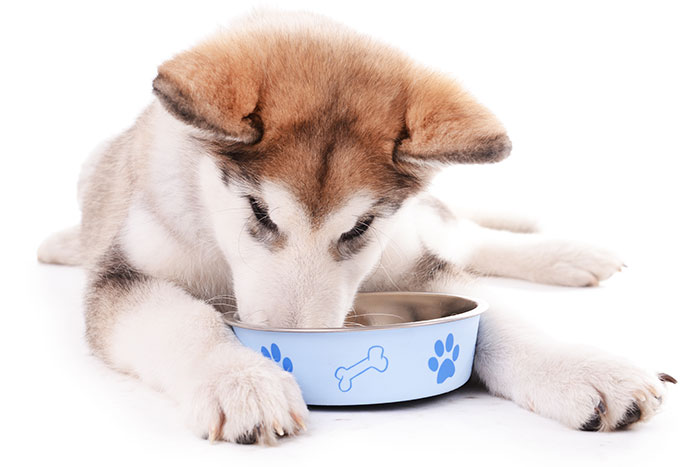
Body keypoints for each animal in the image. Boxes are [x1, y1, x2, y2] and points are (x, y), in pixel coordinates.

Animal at [37, 11, 672, 446]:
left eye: (360, 225)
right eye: (260, 213)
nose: (298, 344)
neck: (217, 240)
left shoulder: (413, 263)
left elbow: (498, 318)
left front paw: (583, 369)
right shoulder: (124, 278)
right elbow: (186, 320)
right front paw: (241, 378)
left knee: (466, 235)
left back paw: (573, 255)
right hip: (95, 169)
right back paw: (63, 243)